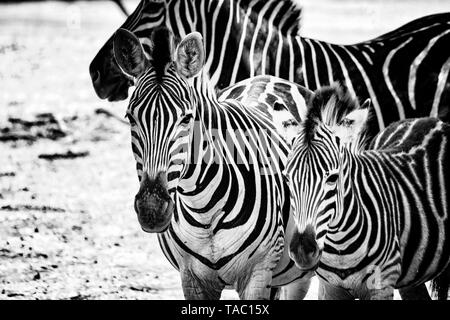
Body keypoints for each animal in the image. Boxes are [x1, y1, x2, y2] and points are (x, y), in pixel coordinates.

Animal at [111, 26, 312, 298]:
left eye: (187, 119)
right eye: (130, 118)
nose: (152, 210)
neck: (204, 209)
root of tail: (270, 78)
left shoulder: (258, 275)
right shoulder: (191, 278)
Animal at [282, 83, 450, 300]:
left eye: (332, 178)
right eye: (287, 178)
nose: (302, 251)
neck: (340, 247)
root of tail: (427, 119)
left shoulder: (381, 285)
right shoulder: (329, 288)